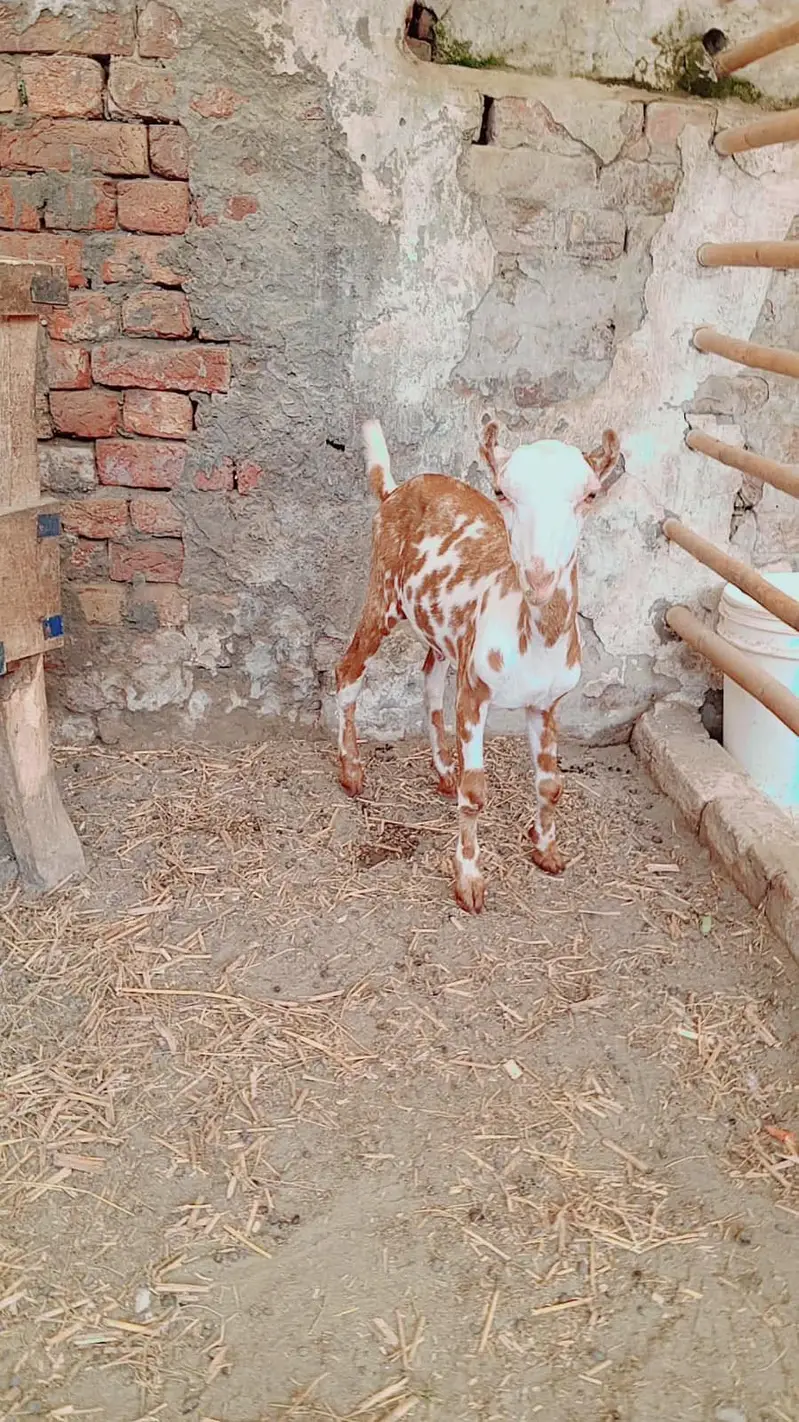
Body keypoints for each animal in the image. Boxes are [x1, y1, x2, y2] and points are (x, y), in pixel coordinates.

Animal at [335, 418, 621, 913]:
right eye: (501, 492)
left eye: (590, 495)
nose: (539, 576)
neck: (534, 639)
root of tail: (395, 489)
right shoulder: (475, 692)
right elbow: (475, 793)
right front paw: (468, 879)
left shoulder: (547, 703)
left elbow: (550, 783)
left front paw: (546, 850)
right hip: (383, 594)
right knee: (349, 670)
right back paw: (352, 772)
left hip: (442, 630)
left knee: (430, 681)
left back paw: (442, 770)